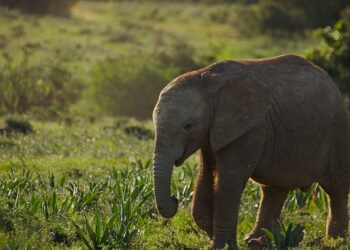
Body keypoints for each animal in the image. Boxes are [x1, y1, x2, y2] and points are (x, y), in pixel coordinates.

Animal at [151, 54, 350, 248]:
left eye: (188, 126)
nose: (175, 199)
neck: (206, 80)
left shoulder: (249, 130)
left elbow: (229, 182)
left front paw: (221, 245)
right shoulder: (211, 133)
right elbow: (205, 174)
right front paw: (213, 234)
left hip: (337, 131)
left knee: (335, 189)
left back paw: (335, 242)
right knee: (273, 189)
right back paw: (257, 242)